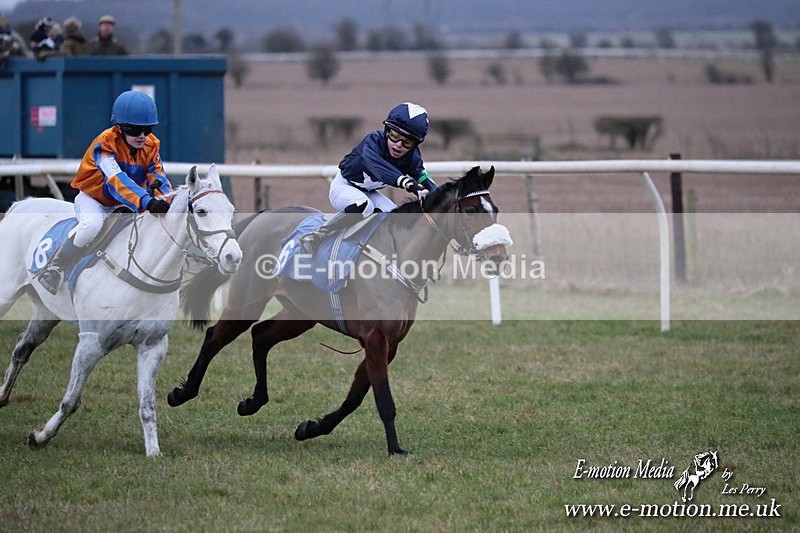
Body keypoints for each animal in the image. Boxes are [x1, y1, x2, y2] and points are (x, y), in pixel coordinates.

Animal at [0, 164, 242, 456]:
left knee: (22, 348)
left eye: (230, 209)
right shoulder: (91, 342)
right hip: (5, 293)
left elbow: (147, 404)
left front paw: (153, 451)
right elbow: (71, 400)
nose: (233, 257)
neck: (144, 268)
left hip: (47, 313)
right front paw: (40, 436)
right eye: (202, 210)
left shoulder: (152, 345)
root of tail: (21, 204)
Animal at [169, 165, 511, 455]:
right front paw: (395, 449)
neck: (400, 255)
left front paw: (311, 427)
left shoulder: (389, 343)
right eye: (471, 210)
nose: (499, 256)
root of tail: (263, 215)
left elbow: (356, 396)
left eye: (494, 209)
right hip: (248, 299)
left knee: (261, 336)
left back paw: (253, 402)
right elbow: (383, 398)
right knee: (215, 336)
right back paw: (182, 393)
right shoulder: (375, 338)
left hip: (301, 314)